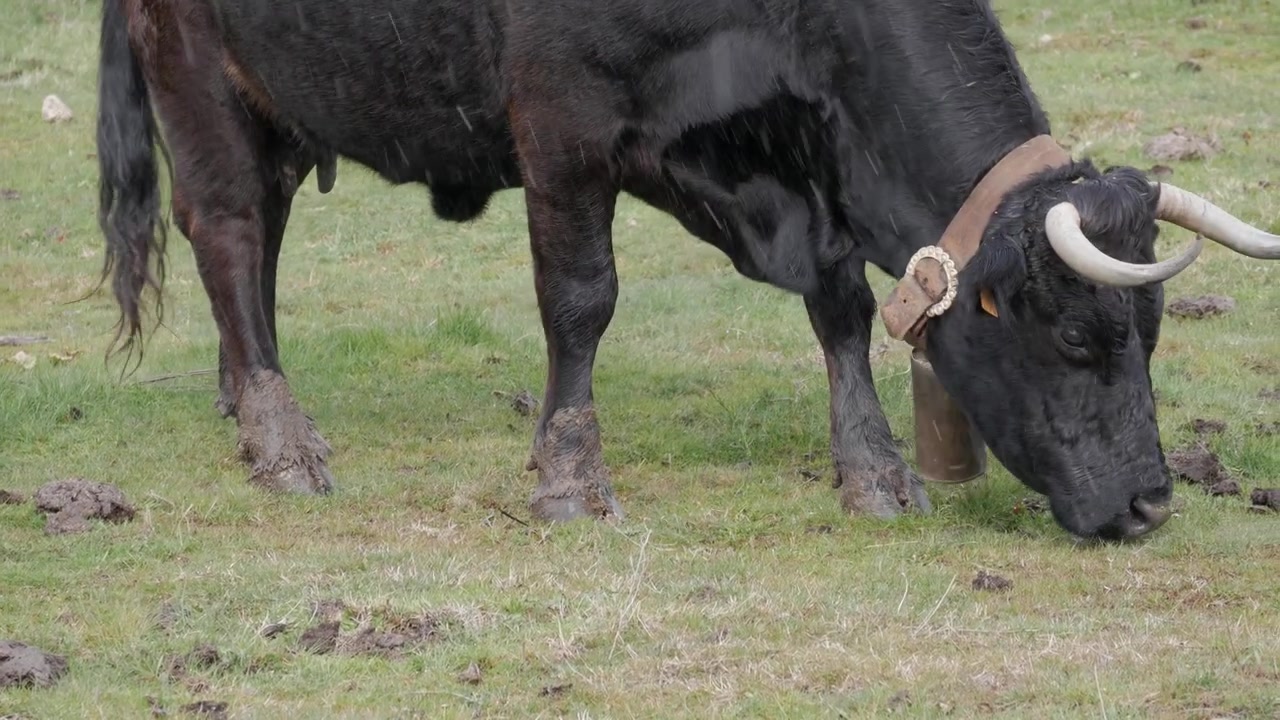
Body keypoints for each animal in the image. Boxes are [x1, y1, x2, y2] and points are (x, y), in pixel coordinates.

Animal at [95, 0, 1279, 541]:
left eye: (1150, 336)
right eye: (1075, 338)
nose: (1150, 504)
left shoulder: (788, 156)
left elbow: (840, 306)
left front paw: (874, 468)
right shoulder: (561, 121)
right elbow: (581, 302)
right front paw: (570, 475)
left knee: (264, 232)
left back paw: (244, 394)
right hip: (192, 65)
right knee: (230, 229)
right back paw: (280, 435)